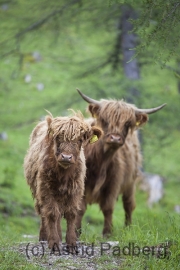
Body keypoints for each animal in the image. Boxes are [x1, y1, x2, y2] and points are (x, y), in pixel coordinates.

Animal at [23, 110, 102, 250]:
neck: (64, 174)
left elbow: (71, 214)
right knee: (44, 212)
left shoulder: (76, 189)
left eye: (80, 140)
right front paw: (54, 242)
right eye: (58, 138)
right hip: (38, 191)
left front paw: (71, 243)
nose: (66, 157)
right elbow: (52, 214)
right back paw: (44, 236)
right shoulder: (45, 188)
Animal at [75, 89, 165, 236]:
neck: (100, 160)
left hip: (131, 182)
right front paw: (76, 232)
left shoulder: (114, 182)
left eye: (127, 124)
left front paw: (107, 232)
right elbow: (80, 207)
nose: (115, 138)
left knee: (129, 205)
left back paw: (128, 228)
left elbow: (108, 207)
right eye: (105, 120)